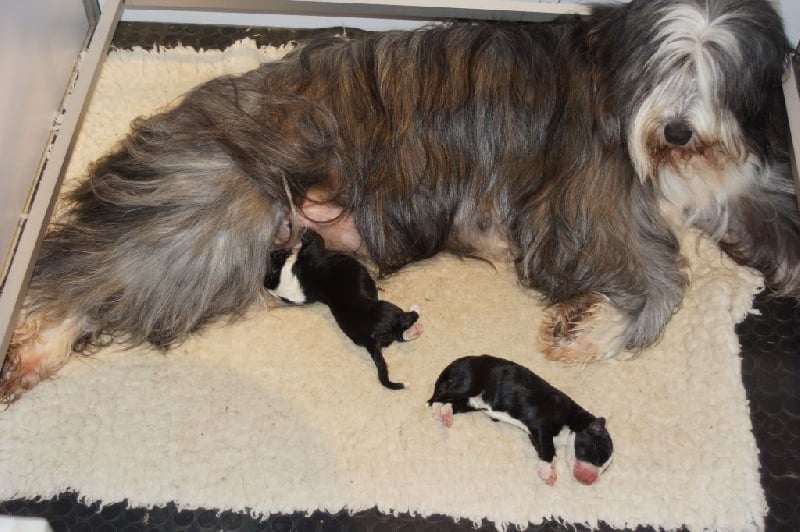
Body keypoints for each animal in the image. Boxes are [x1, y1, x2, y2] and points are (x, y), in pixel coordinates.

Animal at [266, 230, 422, 390]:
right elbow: (317, 240)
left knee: (401, 336)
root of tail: (371, 341)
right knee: (407, 319)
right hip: (389, 309)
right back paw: (415, 312)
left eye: (277, 255)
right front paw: (306, 233)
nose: (273, 252)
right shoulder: (312, 254)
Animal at [432, 356, 612, 484]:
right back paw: (436, 409)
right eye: (597, 455)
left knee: (454, 404)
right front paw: (548, 472)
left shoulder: (534, 435)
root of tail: (458, 362)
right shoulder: (543, 423)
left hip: (472, 402)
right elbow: (548, 450)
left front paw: (547, 468)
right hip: (466, 383)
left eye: (605, 469)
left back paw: (446, 414)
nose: (591, 481)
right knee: (438, 396)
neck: (573, 418)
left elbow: (544, 449)